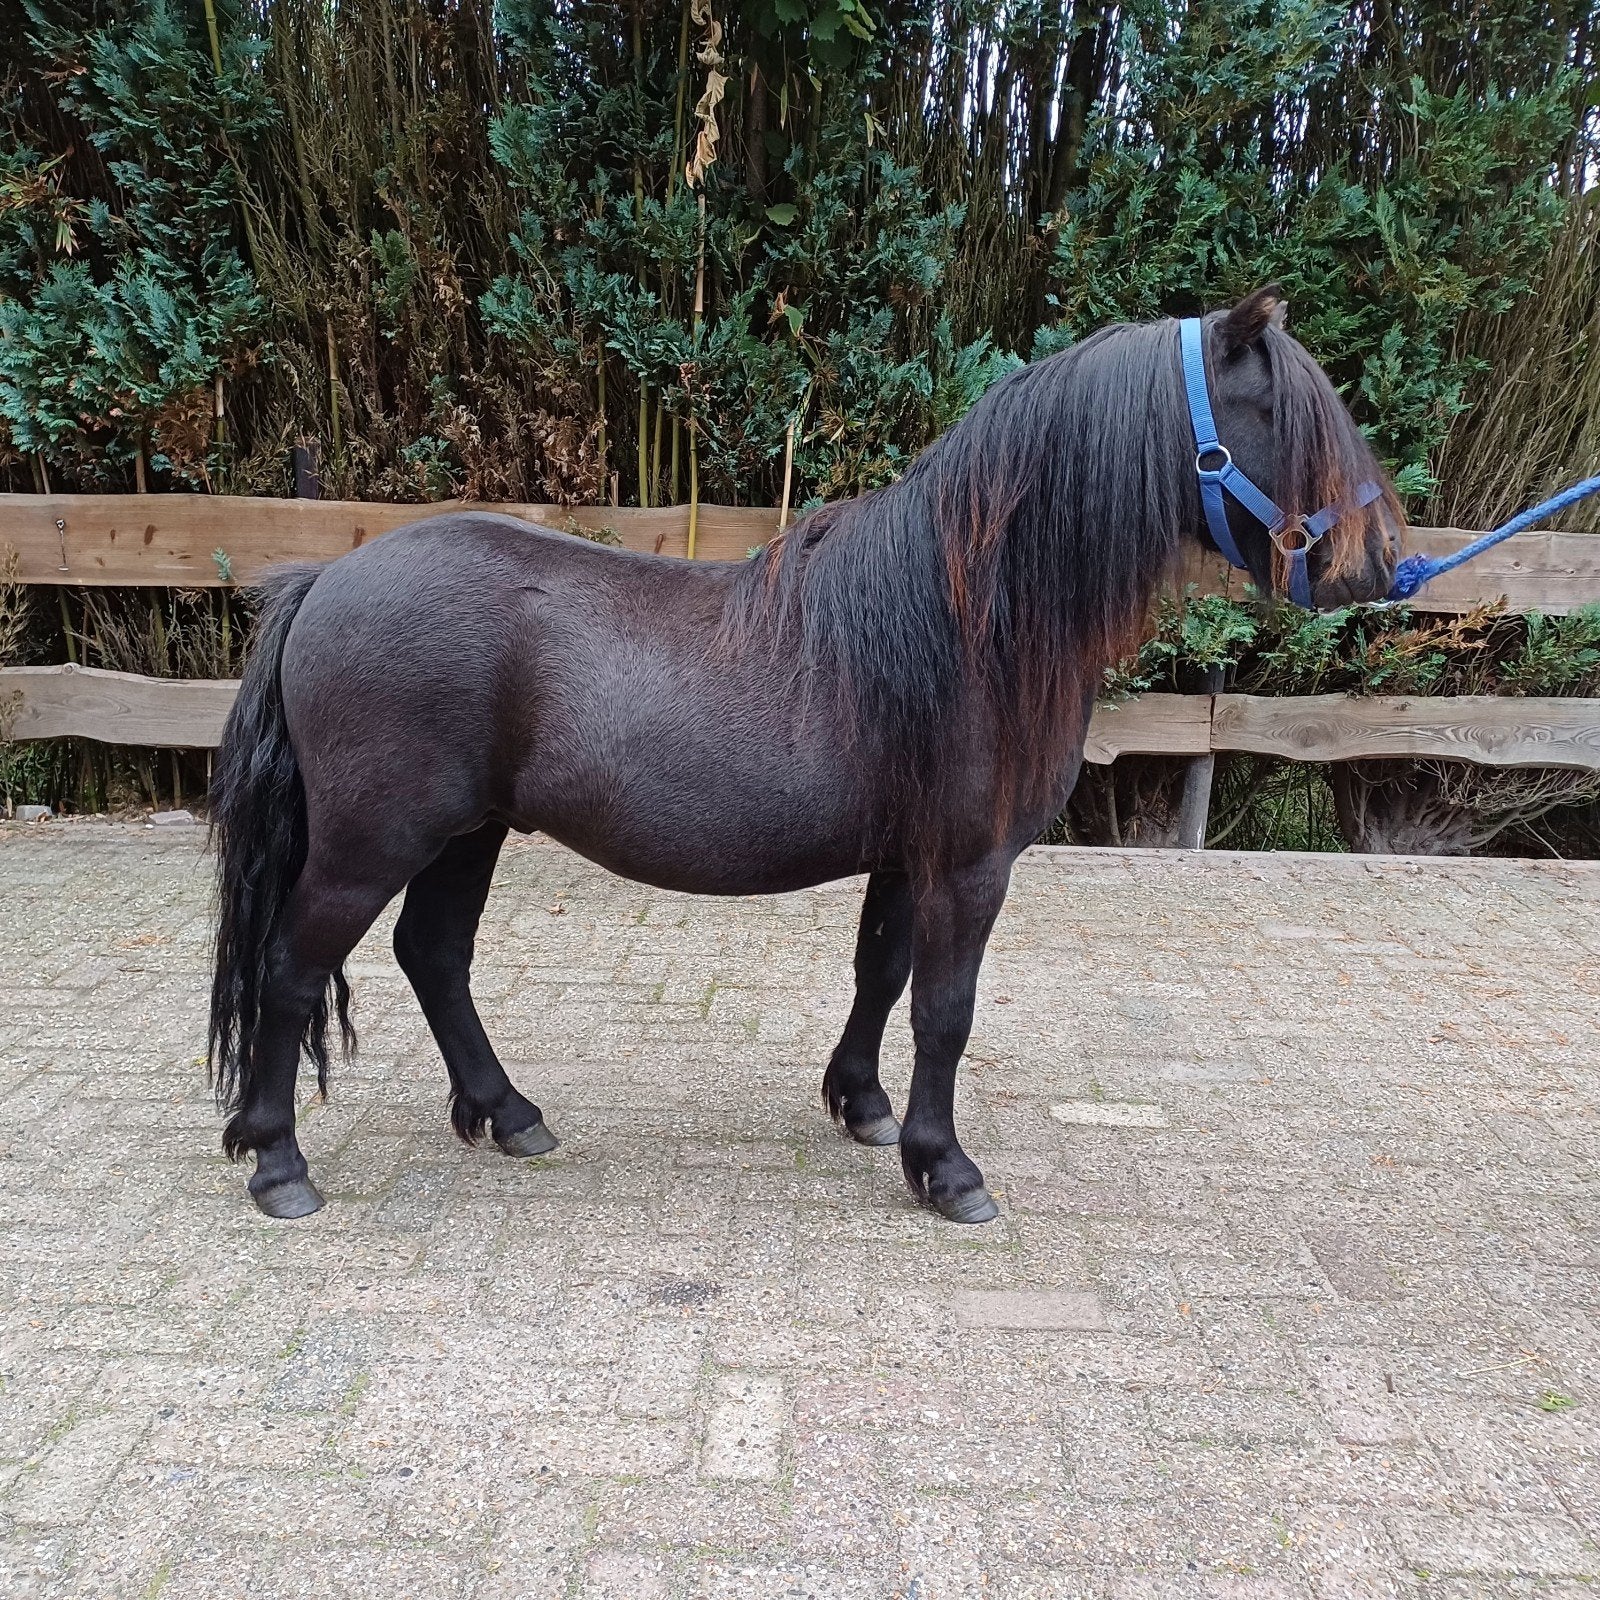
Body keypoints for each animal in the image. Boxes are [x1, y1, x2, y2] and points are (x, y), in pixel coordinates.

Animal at [208, 285, 1402, 1223]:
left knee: (434, 956)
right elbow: (944, 1010)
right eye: (1280, 415)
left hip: (469, 832)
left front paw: (863, 1108)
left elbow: (882, 973)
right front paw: (946, 1168)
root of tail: (324, 581)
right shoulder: (970, 865)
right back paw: (279, 1163)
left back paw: (509, 1114)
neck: (970, 619)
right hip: (374, 841)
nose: (1381, 566)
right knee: (293, 967)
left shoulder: (908, 858)